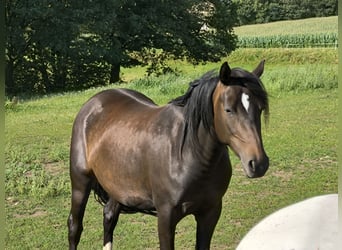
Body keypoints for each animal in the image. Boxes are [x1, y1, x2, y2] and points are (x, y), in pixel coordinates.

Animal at [67, 61, 270, 250]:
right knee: (74, 226)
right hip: (80, 182)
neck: (188, 155)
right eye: (228, 109)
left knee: (109, 217)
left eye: (260, 109)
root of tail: (93, 103)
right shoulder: (166, 216)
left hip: (117, 185)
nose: (258, 163)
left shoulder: (210, 213)